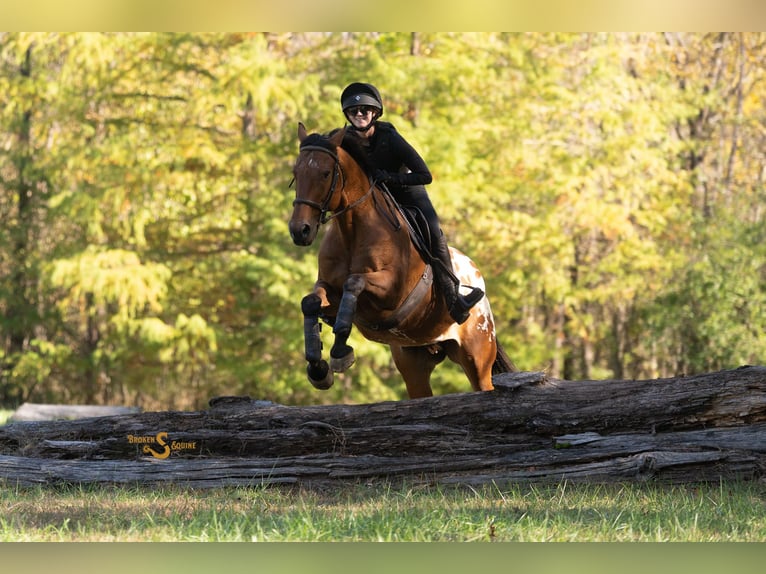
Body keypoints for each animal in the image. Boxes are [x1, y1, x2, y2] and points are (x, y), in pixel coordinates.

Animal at [288, 122, 515, 399]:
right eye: (296, 172)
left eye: (325, 173)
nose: (300, 230)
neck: (352, 230)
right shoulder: (329, 289)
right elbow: (310, 302)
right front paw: (318, 368)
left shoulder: (390, 292)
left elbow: (354, 283)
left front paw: (340, 351)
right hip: (413, 362)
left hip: (477, 356)